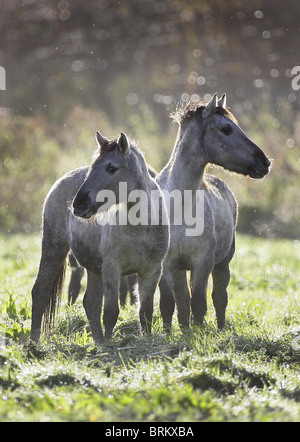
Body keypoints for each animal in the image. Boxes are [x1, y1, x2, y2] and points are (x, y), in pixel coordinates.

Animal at [32, 131, 171, 346]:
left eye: (111, 168)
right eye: (93, 167)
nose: (78, 204)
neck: (139, 228)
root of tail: (61, 180)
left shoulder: (151, 271)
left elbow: (145, 313)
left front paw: (145, 342)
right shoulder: (112, 270)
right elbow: (111, 313)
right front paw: (110, 346)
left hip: (93, 268)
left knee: (90, 304)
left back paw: (98, 342)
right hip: (53, 249)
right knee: (39, 293)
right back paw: (32, 343)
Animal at [158, 94, 270, 332]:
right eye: (226, 129)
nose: (265, 162)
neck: (179, 207)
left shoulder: (203, 263)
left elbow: (199, 303)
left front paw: (197, 334)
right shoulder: (171, 265)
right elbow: (178, 303)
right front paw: (180, 332)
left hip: (223, 263)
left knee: (219, 297)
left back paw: (220, 328)